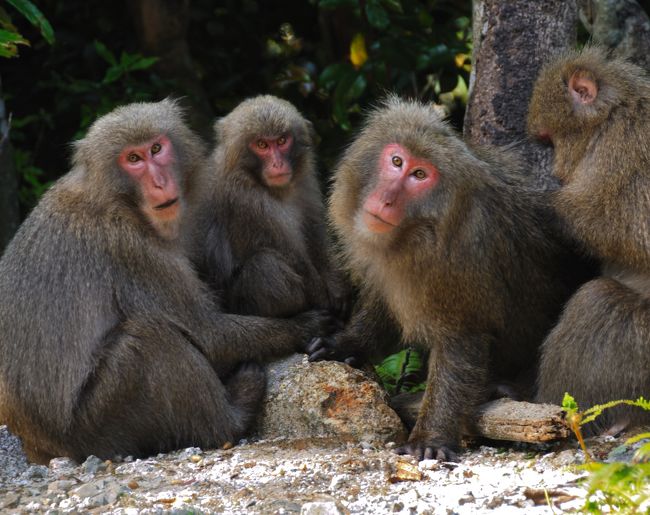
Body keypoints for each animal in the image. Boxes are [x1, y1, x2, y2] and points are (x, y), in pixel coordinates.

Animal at [0, 100, 330, 464]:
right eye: (133, 159)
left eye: (156, 149)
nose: (160, 182)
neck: (118, 199)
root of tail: (38, 448)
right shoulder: (133, 250)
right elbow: (208, 334)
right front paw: (307, 325)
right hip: (94, 428)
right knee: (149, 338)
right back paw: (231, 418)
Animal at [190, 94, 344, 316]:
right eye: (262, 145)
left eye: (281, 141)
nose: (277, 164)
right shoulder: (245, 201)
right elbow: (289, 256)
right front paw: (327, 302)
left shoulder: (305, 185)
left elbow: (315, 237)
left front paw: (336, 286)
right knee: (264, 265)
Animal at [528, 47, 648, 436]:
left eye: (551, 139)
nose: (557, 171)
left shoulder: (625, 146)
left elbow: (625, 228)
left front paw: (542, 206)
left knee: (598, 301)